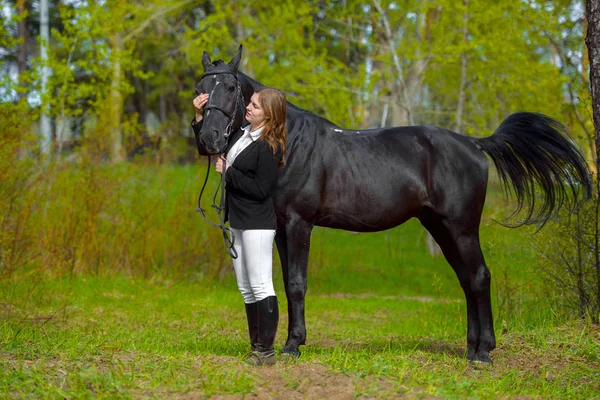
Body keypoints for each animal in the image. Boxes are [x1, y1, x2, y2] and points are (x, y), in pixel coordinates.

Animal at [196, 46, 592, 362]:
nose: (209, 139)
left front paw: (293, 345)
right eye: (200, 90)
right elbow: (284, 282)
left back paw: (483, 353)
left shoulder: (298, 223)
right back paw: (473, 346)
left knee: (479, 277)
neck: (288, 143)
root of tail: (474, 144)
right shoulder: (278, 227)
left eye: (230, 88)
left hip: (461, 227)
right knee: (467, 279)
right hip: (440, 227)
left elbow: (296, 283)